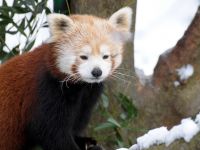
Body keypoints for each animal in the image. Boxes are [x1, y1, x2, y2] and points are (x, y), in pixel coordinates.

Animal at [0, 6, 133, 149]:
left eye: (106, 56)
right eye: (83, 57)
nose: (97, 72)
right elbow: (48, 130)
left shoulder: (87, 99)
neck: (81, 87)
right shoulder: (46, 90)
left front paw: (86, 142)